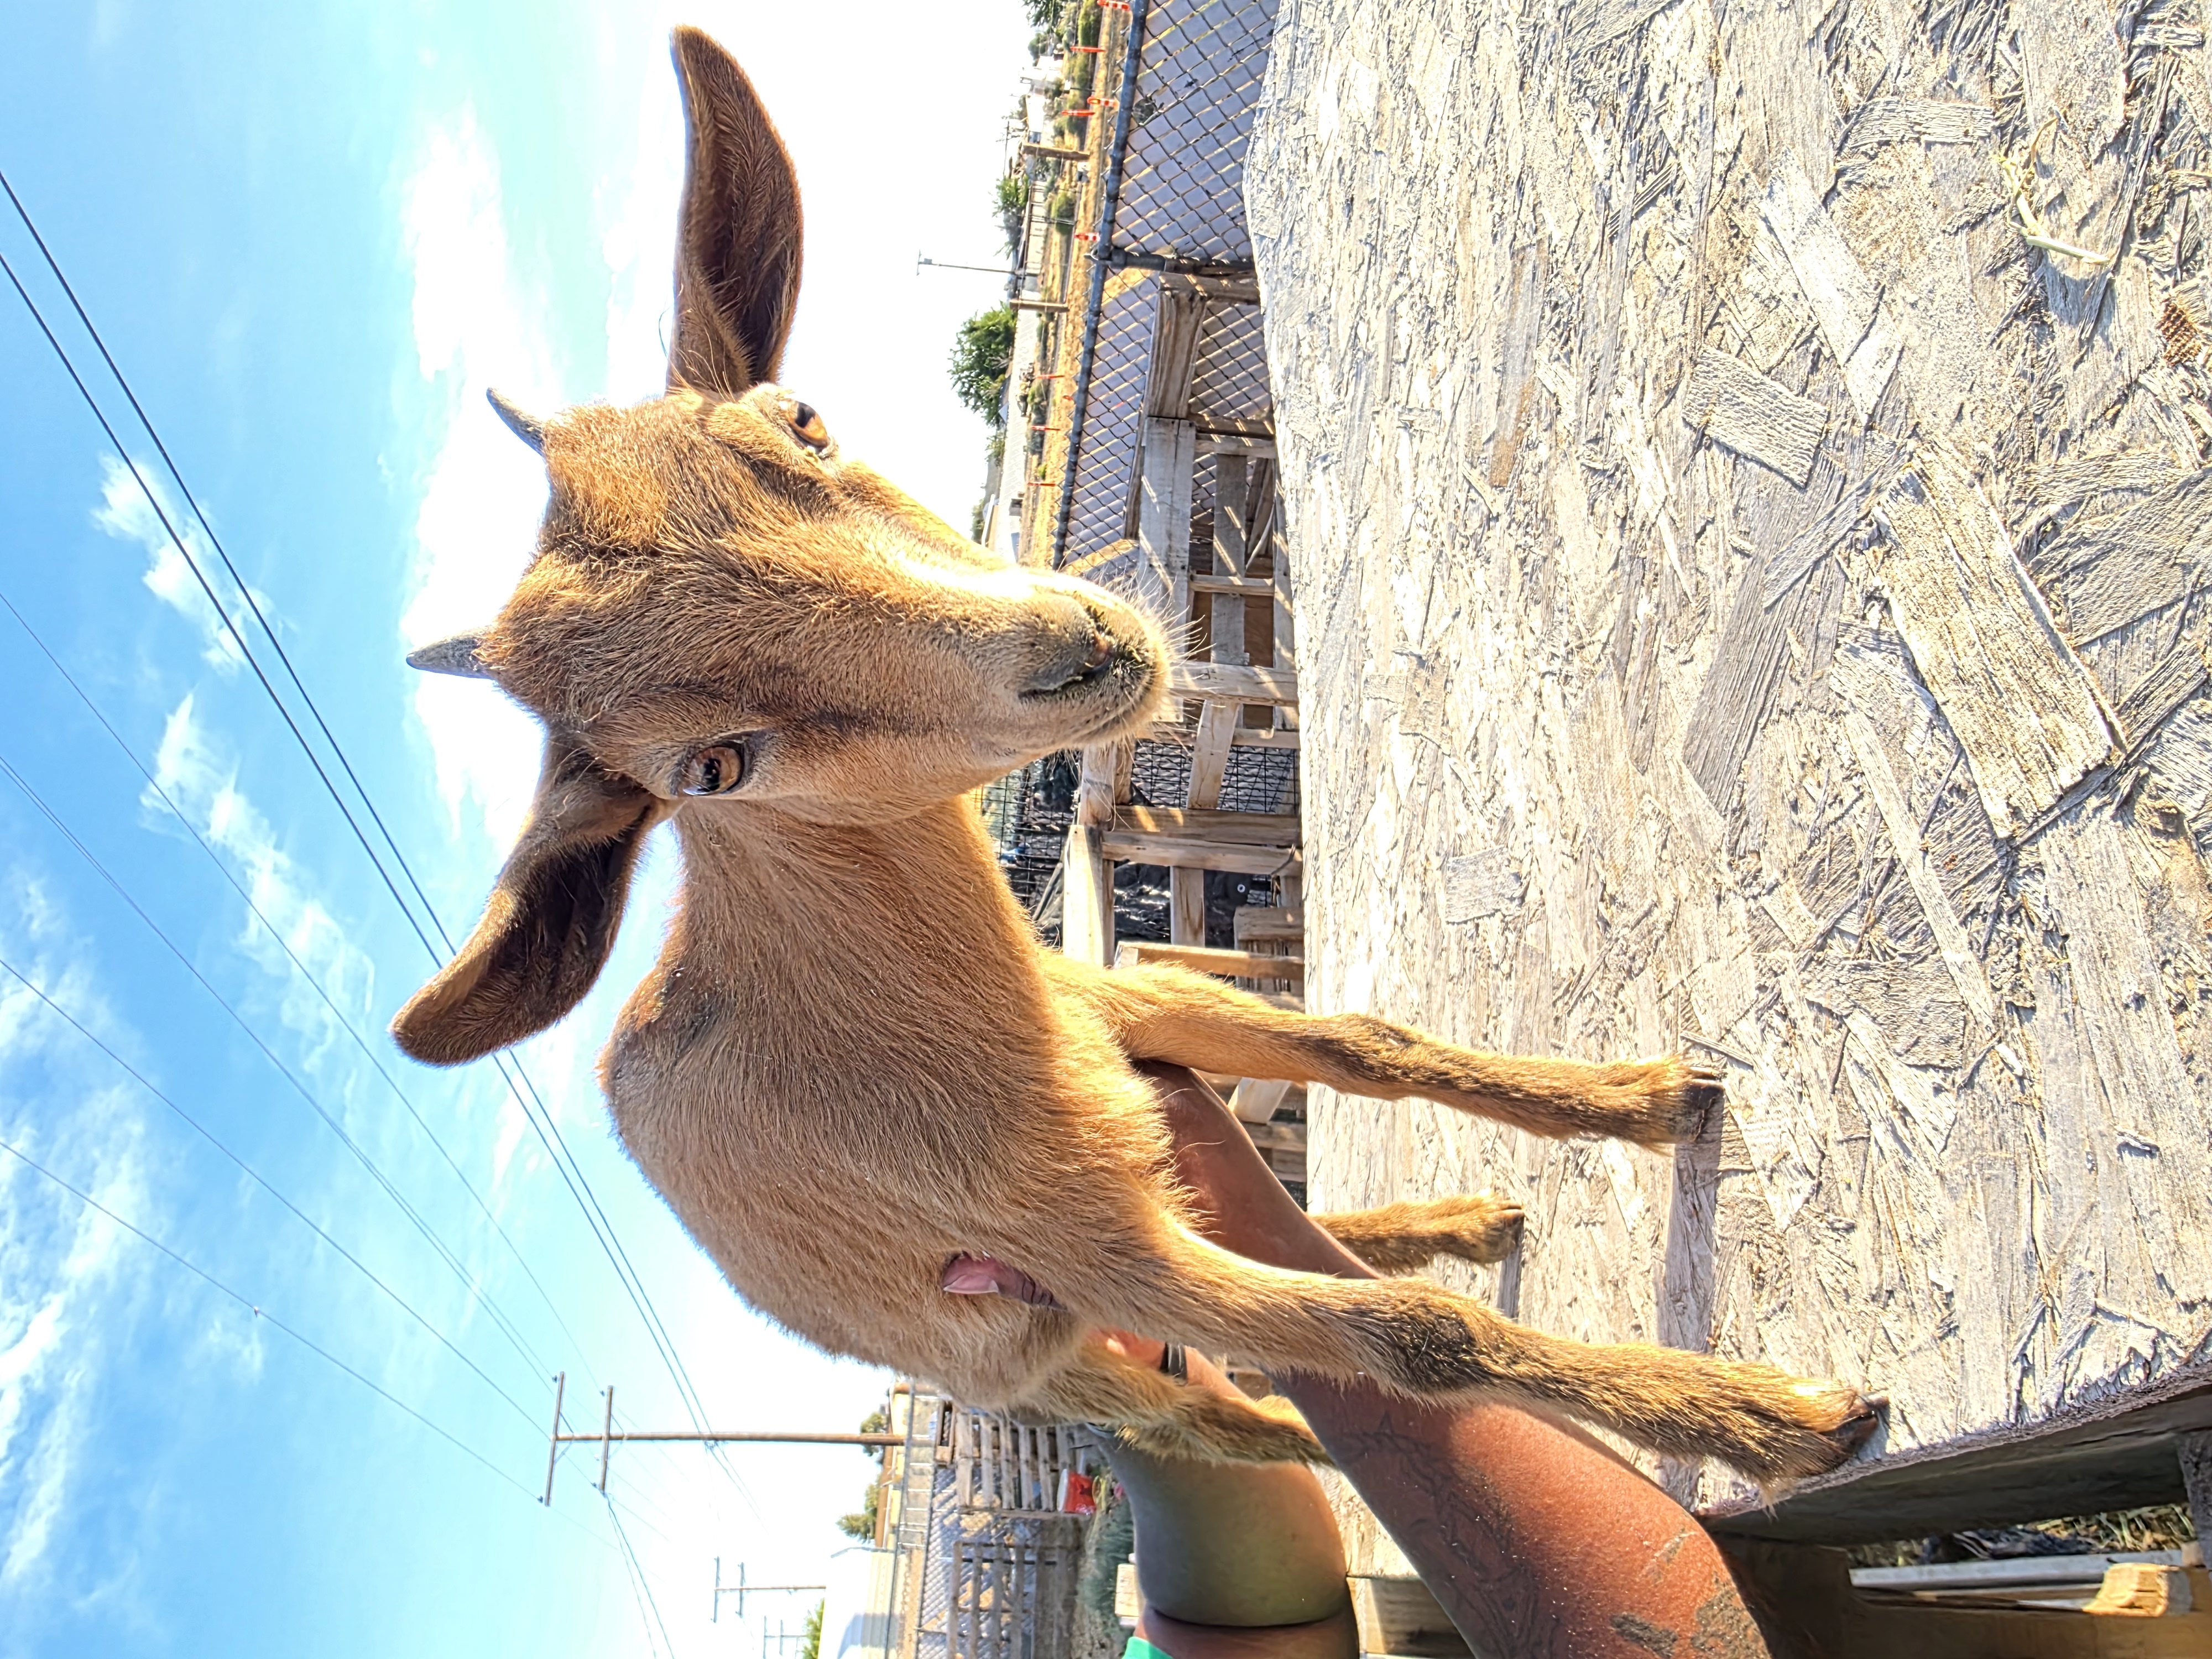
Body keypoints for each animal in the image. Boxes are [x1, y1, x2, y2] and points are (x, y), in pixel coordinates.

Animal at [394, 26, 1877, 1482]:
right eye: (711, 766)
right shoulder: (1094, 1253)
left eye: (800, 423)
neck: (941, 1031)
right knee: (1209, 1419)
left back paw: (1461, 1214)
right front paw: (1759, 1415)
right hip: (1037, 1358)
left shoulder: (1128, 1014)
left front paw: (1646, 1096)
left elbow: (1356, 1039)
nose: (1072, 644)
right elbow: (1413, 1337)